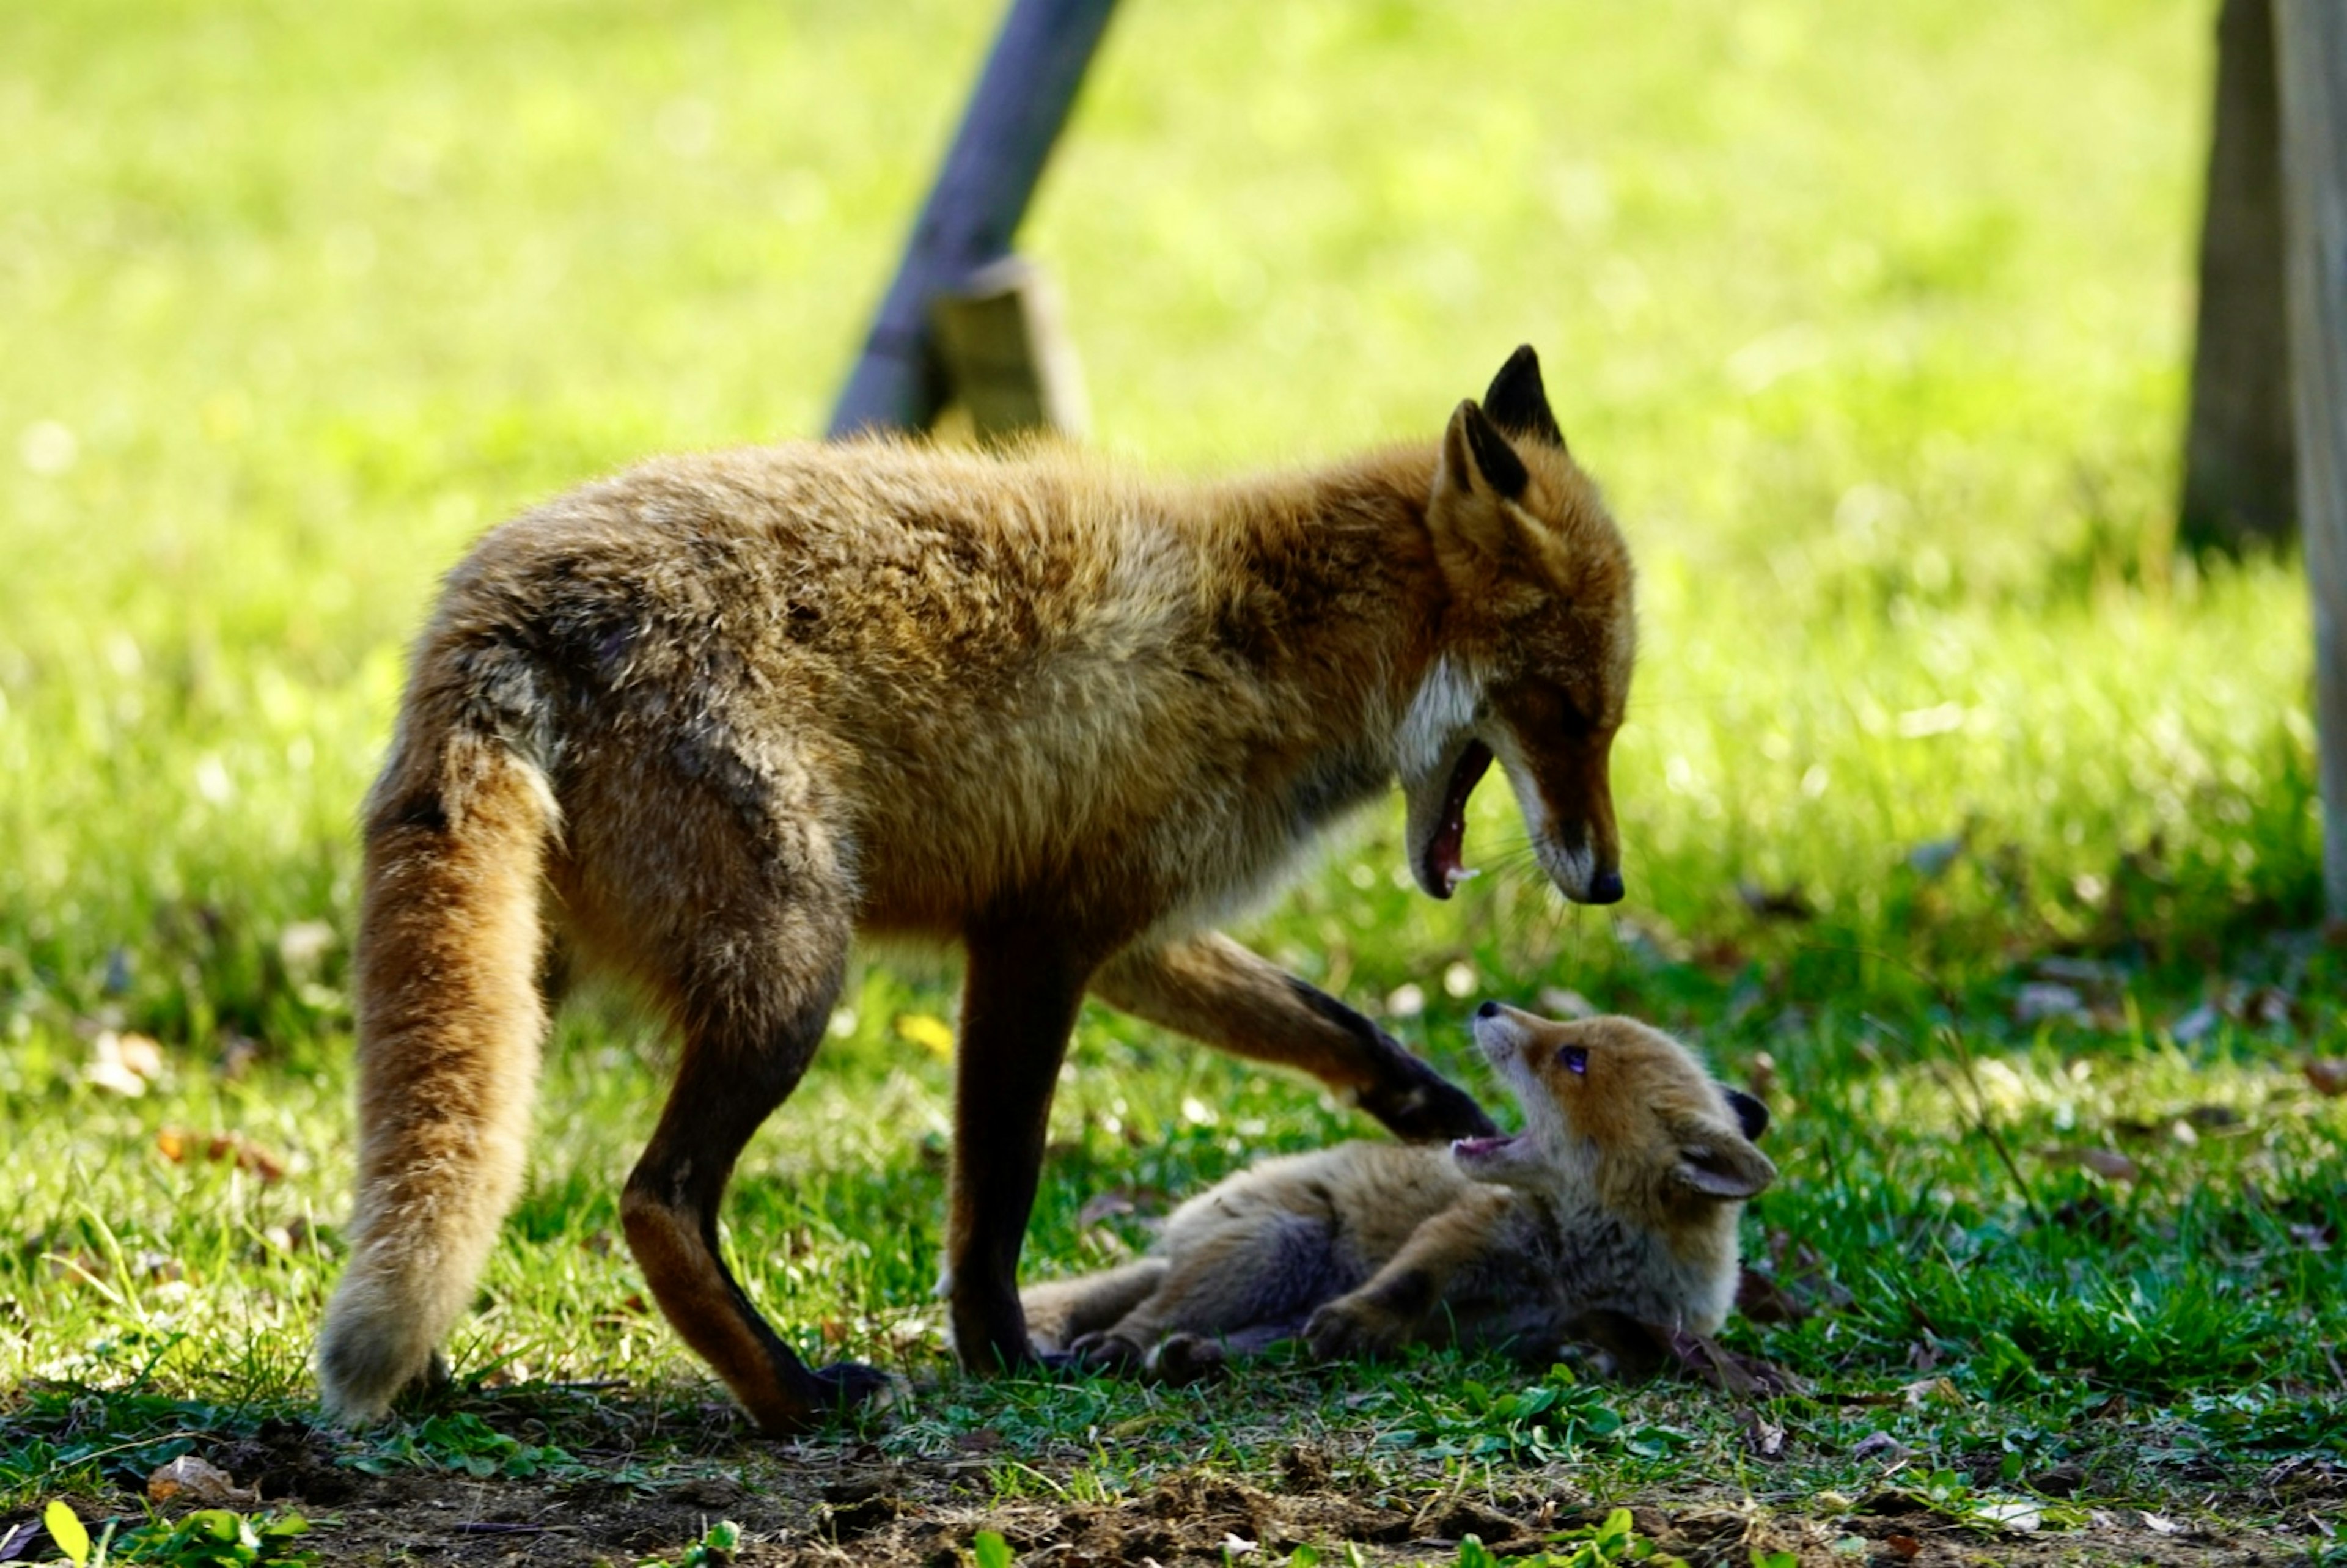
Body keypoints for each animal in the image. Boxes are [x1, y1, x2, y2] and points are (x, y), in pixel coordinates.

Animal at [312, 345, 1643, 1436]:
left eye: (1607, 721)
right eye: (1574, 713)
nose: (1609, 881)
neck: (1268, 638)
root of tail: (498, 600)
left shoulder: (1129, 922)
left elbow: (1328, 1019)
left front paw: (1432, 1105)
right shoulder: (1033, 940)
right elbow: (997, 1196)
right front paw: (1003, 1355)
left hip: (536, 975)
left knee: (413, 1166)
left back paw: (433, 1375)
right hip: (792, 975)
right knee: (655, 1199)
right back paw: (793, 1395)